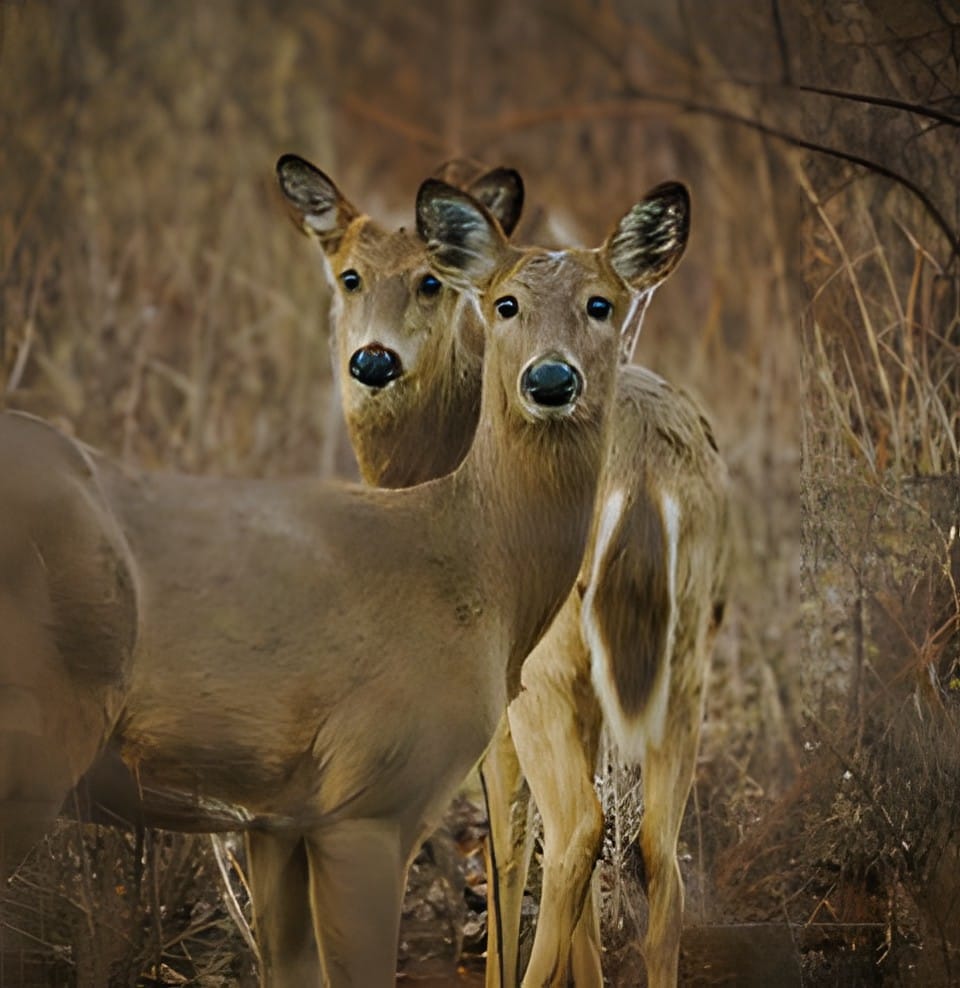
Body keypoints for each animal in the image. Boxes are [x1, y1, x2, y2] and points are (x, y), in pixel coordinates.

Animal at [0, 176, 691, 986]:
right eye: (505, 302)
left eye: (601, 302)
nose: (550, 379)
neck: (470, 558)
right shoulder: (369, 795)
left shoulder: (279, 818)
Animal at [277, 154, 729, 987]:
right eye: (350, 276)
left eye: (430, 281)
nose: (373, 361)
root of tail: (648, 474)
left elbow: (506, 837)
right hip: (686, 656)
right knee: (657, 851)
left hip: (546, 662)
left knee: (577, 826)